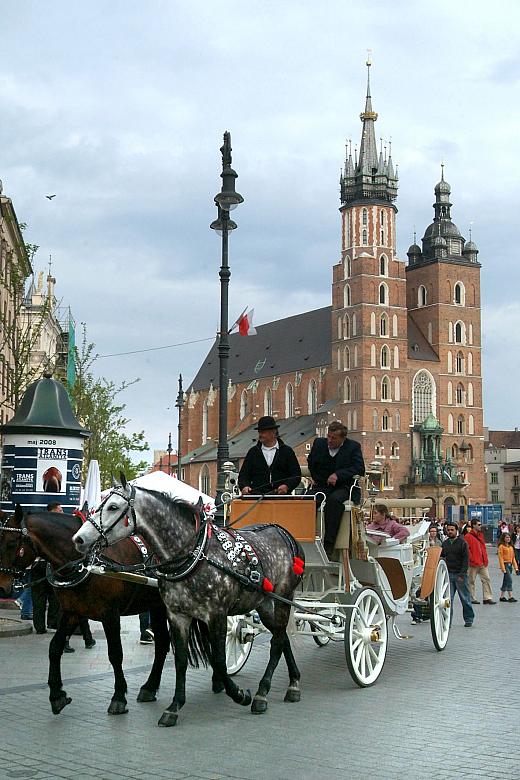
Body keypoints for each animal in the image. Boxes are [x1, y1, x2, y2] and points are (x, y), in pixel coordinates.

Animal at [0, 506, 177, 720]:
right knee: (162, 643)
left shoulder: (110, 615)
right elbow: (55, 648)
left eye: (11, 543)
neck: (87, 563)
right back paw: (150, 687)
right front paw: (57, 695)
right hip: (156, 606)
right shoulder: (71, 612)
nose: (1, 588)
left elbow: (115, 654)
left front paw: (118, 697)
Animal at [75, 478, 306, 728]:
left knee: (276, 642)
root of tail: (283, 532)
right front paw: (174, 707)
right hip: (263, 602)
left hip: (284, 596)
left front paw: (239, 695)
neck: (193, 554)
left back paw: (262, 694)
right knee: (281, 636)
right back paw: (293, 682)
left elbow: (219, 660)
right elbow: (181, 660)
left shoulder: (216, 615)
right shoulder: (178, 615)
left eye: (113, 507)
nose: (79, 539)